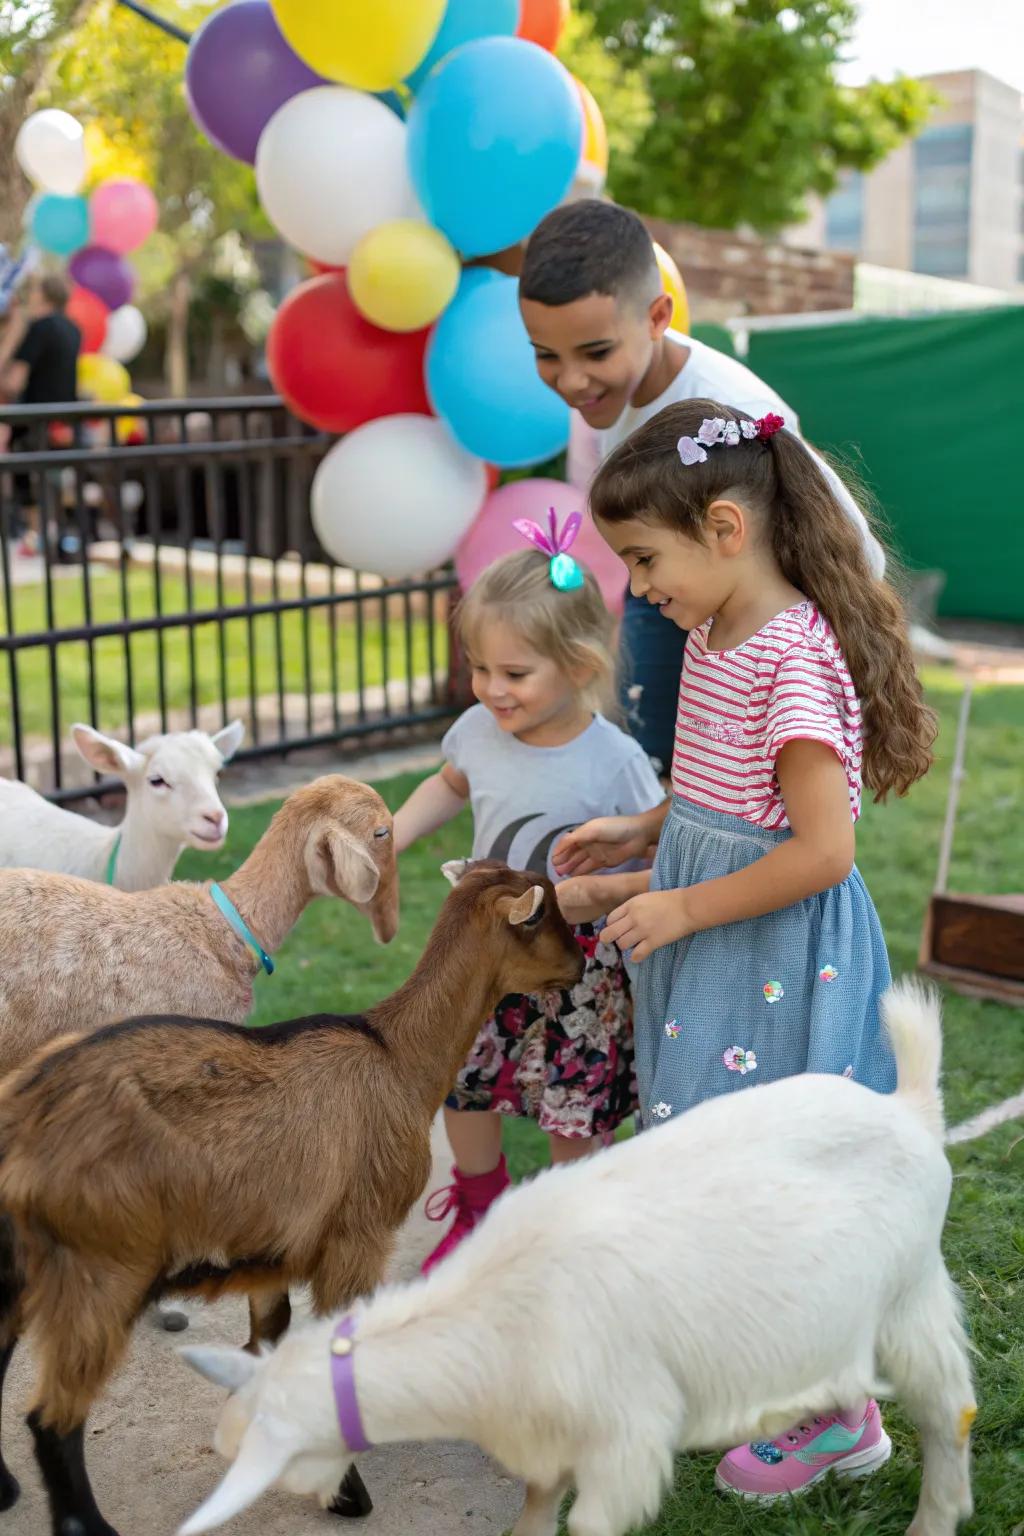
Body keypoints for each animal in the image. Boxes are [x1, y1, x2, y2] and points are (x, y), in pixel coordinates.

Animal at [0, 866, 583, 1536]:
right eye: (544, 917)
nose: (580, 965)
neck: (398, 1058)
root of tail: (23, 1117)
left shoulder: (271, 1248)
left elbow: (267, 1341)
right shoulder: (358, 1238)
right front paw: (345, 1492)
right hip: (100, 1269)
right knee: (52, 1419)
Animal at [181, 976, 976, 1536]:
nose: (348, 1504)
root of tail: (908, 1108)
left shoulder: (626, 1440)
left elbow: (591, 1520)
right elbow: (536, 1509)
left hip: (910, 1300)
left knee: (951, 1413)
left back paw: (929, 1516)